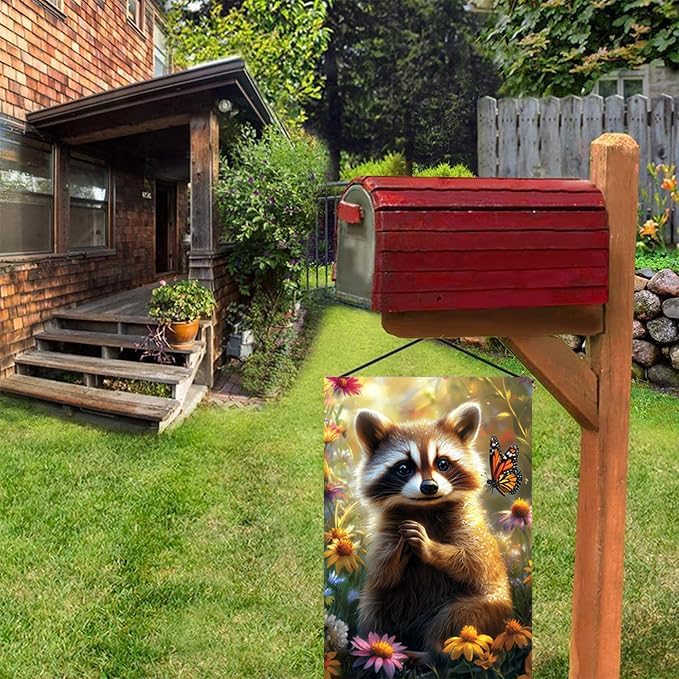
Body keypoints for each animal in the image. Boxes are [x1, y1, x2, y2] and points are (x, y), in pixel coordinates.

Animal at [354, 403, 512, 656]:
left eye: (443, 464)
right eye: (403, 468)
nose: (429, 487)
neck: (425, 508)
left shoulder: (470, 524)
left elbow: (476, 562)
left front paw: (432, 548)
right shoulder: (385, 530)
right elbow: (381, 573)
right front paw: (397, 552)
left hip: (486, 608)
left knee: (459, 616)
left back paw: (432, 653)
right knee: (374, 604)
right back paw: (378, 645)